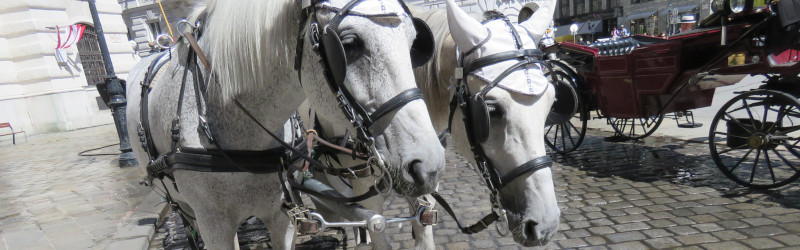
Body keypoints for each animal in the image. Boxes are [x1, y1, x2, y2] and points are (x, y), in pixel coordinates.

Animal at [127, 0, 446, 249]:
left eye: (414, 44)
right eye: (349, 44)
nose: (428, 165)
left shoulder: (283, 216)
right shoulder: (213, 224)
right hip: (183, 206)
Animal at [310, 0, 560, 247]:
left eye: (551, 104)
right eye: (491, 111)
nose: (545, 225)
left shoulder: (426, 187)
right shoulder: (368, 200)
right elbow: (374, 229)